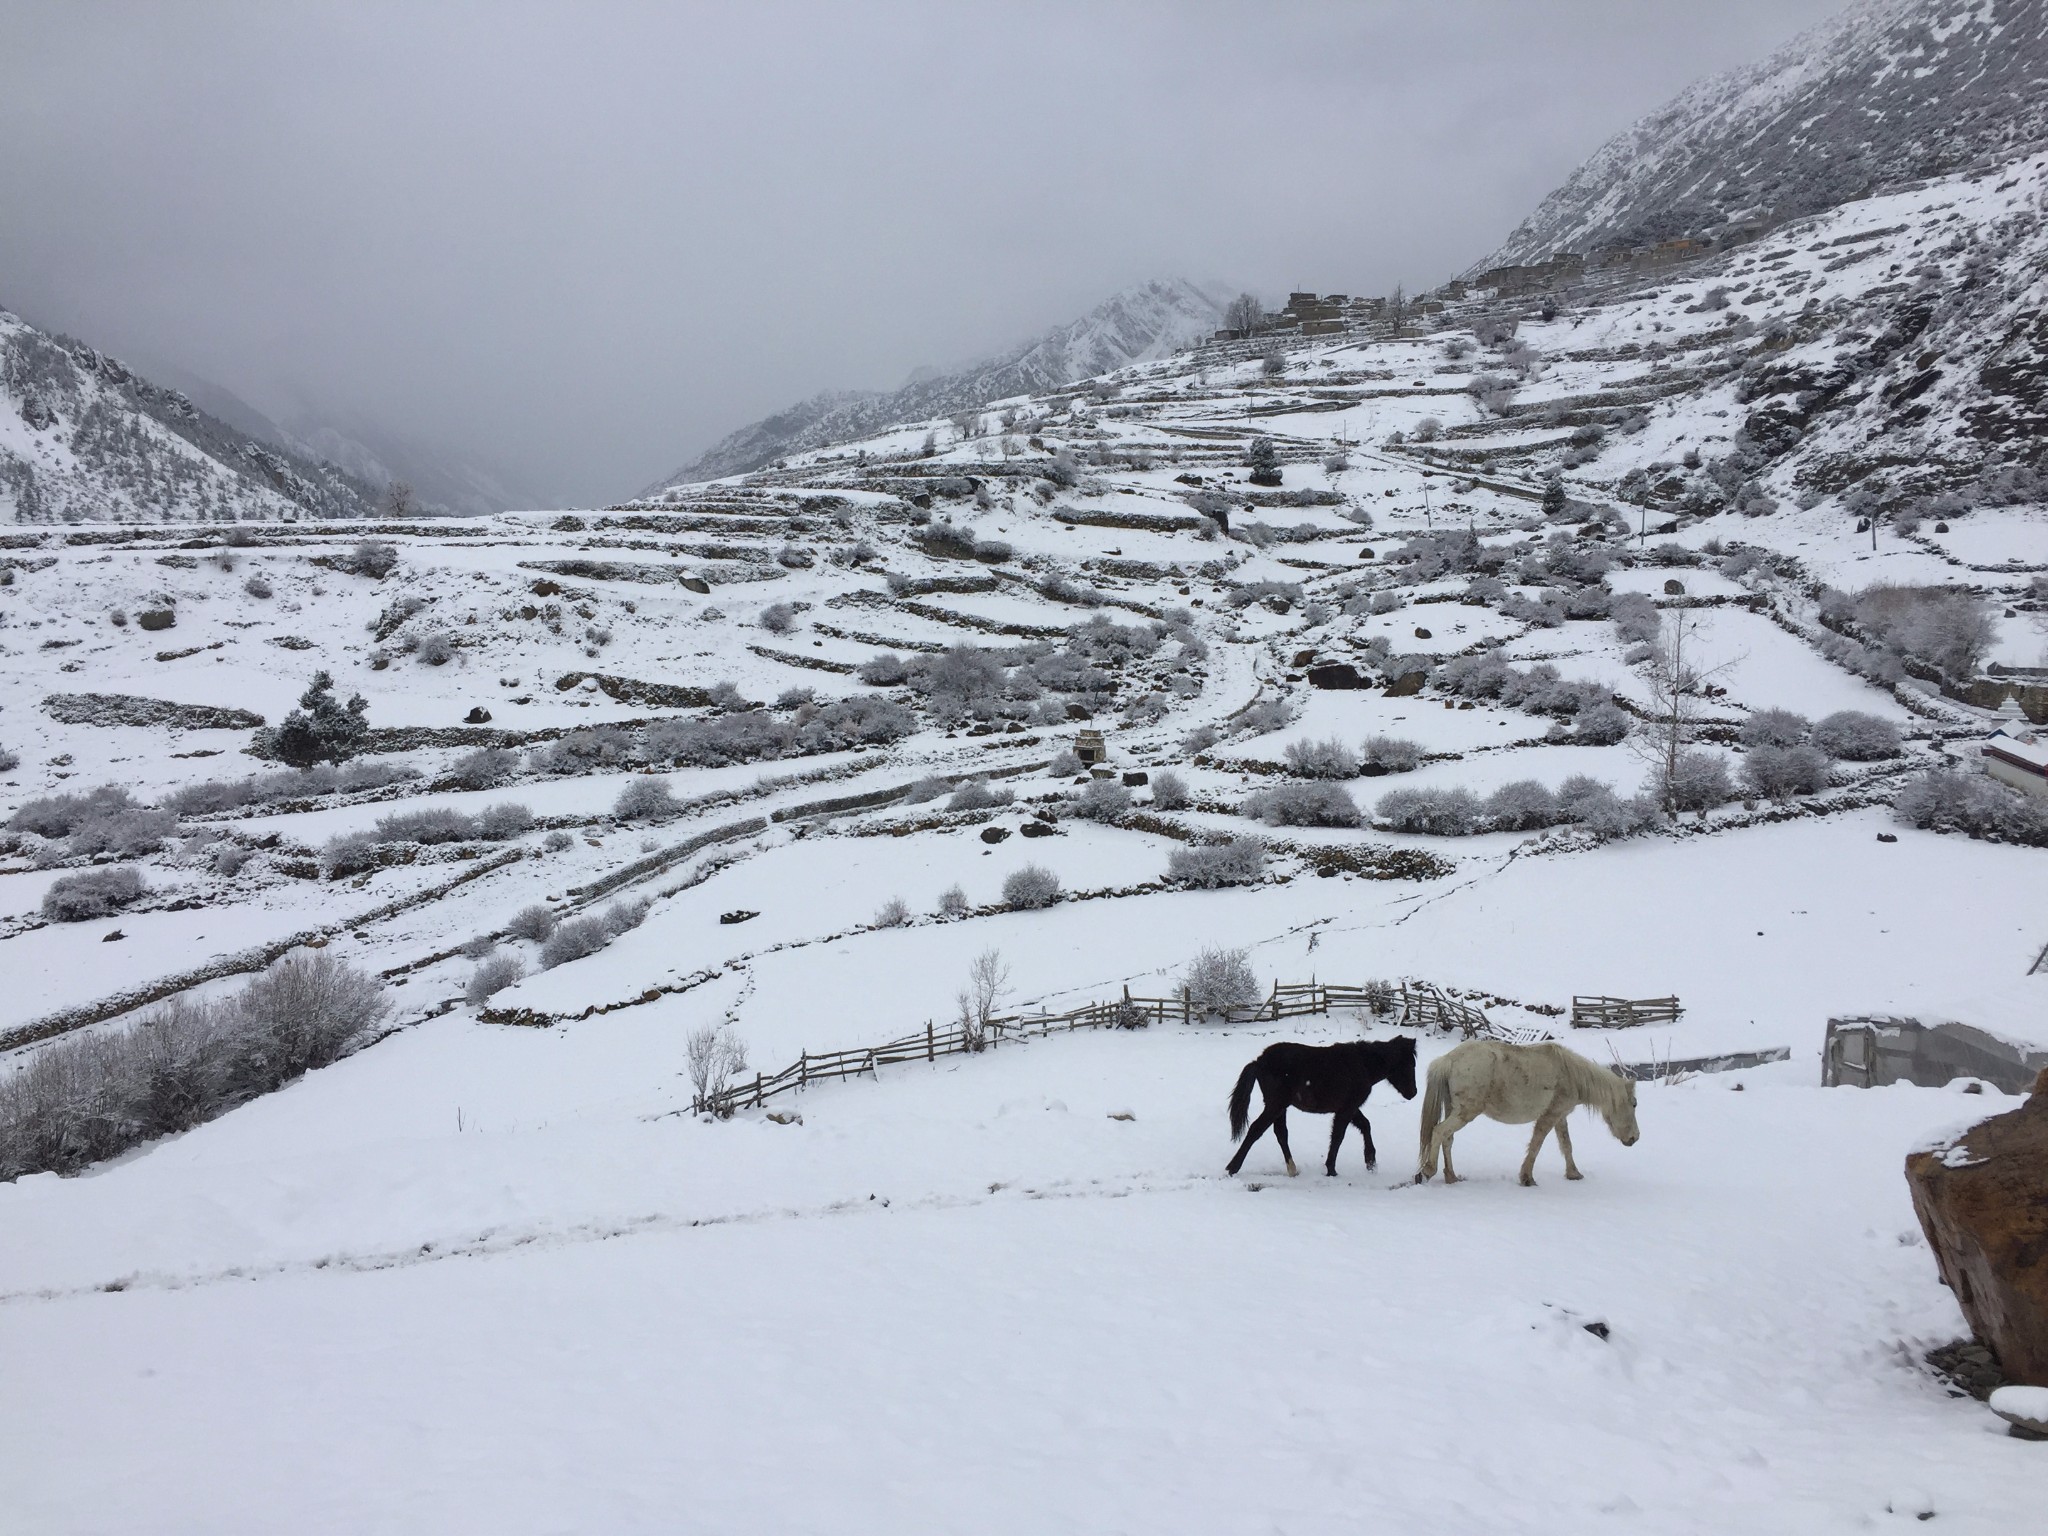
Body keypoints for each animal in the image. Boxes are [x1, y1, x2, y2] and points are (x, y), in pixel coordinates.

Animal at [1220, 1040, 1417, 1187]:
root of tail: (1259, 1061)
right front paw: (1332, 1170)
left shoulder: (1349, 1108)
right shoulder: (1347, 1108)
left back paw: (1292, 1170)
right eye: (1409, 1064)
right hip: (1275, 1105)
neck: (1362, 1064)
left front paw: (1371, 1163)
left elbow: (1364, 1125)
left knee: (1281, 1134)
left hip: (1279, 1107)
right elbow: (1338, 1136)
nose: (1413, 1093)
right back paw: (1232, 1168)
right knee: (1256, 1130)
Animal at [1417, 1036, 1638, 1187]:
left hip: (1454, 1110)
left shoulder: (1560, 1117)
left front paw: (1574, 1174)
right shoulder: (1549, 1116)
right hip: (1465, 1112)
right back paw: (1427, 1171)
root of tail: (1448, 1060)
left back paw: (1451, 1177)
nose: (1634, 1138)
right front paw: (1527, 1178)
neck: (1571, 1075)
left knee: (1447, 1138)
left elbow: (1566, 1145)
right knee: (1439, 1131)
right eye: (1634, 1104)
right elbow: (1536, 1145)